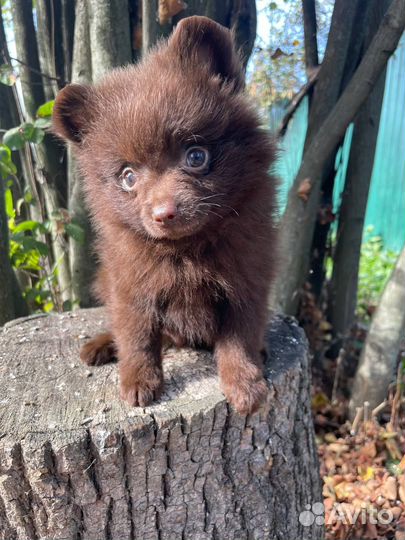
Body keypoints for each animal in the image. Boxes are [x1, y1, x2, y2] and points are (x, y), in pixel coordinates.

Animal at [52, 15, 276, 414]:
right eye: (128, 177)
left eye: (196, 156)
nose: (164, 213)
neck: (186, 251)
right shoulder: (130, 283)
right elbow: (137, 334)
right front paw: (138, 381)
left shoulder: (248, 276)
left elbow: (240, 335)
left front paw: (245, 384)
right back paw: (101, 345)